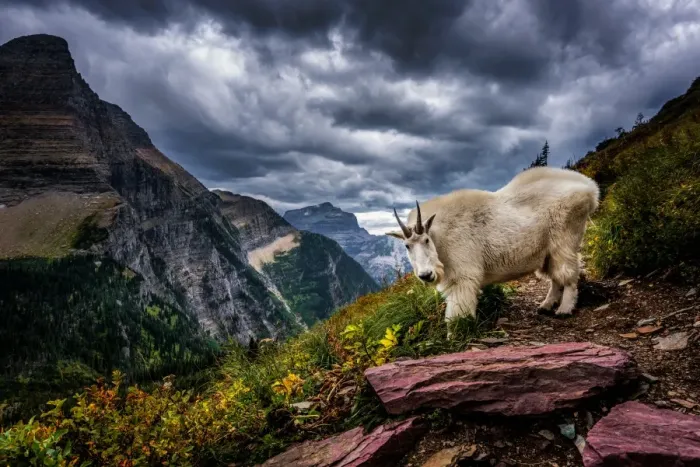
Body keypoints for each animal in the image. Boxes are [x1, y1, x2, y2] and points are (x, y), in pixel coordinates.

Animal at [387, 167, 599, 333]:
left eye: (426, 240)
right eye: (407, 246)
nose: (426, 275)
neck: (441, 236)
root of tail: (590, 188)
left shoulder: (462, 277)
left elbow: (456, 313)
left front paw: (454, 336)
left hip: (565, 239)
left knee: (568, 275)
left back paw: (564, 309)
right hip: (547, 251)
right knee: (555, 277)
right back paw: (546, 306)